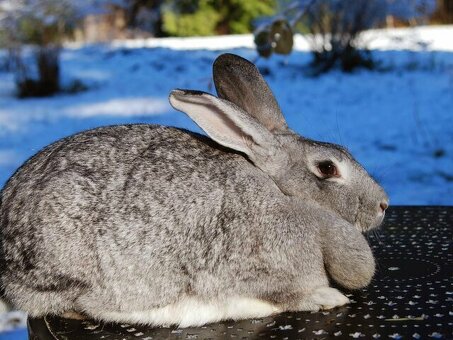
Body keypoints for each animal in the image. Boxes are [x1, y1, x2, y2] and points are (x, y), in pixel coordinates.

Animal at [0, 54, 388, 328]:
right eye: (327, 168)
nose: (383, 204)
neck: (284, 194)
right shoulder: (260, 271)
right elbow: (287, 295)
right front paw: (328, 298)